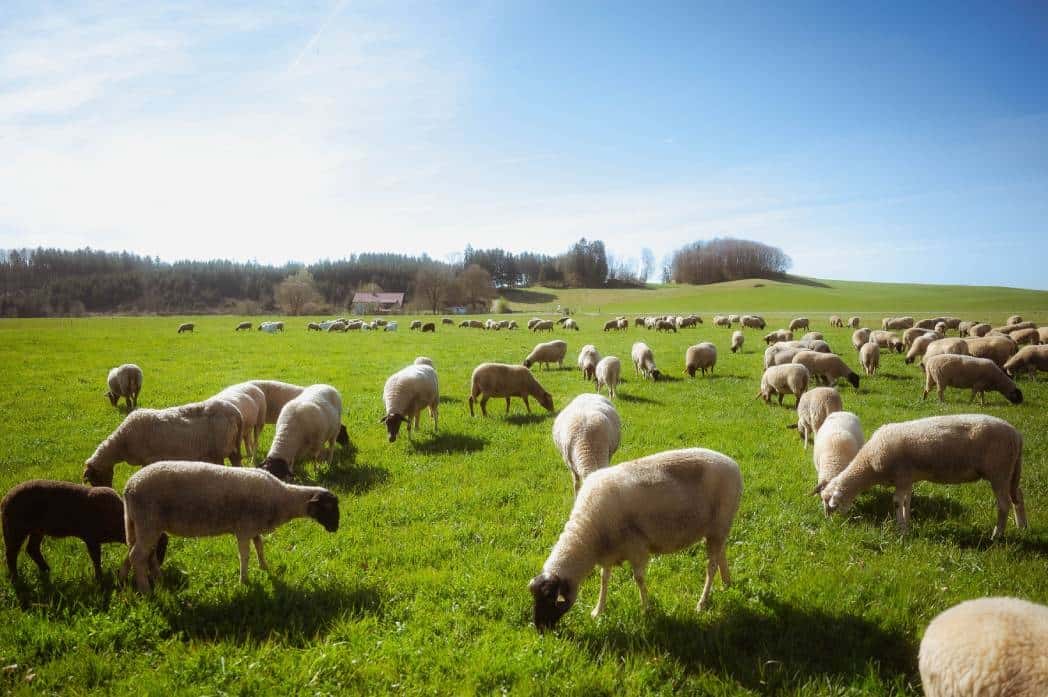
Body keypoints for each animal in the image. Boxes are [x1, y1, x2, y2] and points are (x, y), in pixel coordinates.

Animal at [3, 480, 167, 584]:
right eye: (157, 549)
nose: (158, 567)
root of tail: (4, 500)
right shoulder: (91, 538)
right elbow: (96, 559)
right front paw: (99, 579)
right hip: (15, 529)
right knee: (11, 554)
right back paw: (15, 578)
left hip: (37, 529)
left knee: (32, 549)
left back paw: (46, 570)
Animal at [83, 399, 243, 488]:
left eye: (93, 479)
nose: (109, 490)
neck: (121, 442)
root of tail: (236, 412)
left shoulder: (148, 459)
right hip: (232, 446)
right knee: (237, 463)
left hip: (219, 450)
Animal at [120, 462, 338, 592]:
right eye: (328, 507)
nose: (336, 528)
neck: (282, 499)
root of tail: (130, 486)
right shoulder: (244, 528)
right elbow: (245, 555)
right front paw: (244, 581)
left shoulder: (253, 528)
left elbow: (260, 547)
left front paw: (264, 567)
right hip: (148, 522)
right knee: (137, 556)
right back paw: (145, 590)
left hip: (144, 524)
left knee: (142, 554)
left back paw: (148, 579)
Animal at [529, 448, 742, 631]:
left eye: (549, 598)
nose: (539, 629)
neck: (587, 534)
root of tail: (732, 464)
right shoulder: (609, 549)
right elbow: (604, 578)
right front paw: (598, 610)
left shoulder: (636, 547)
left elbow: (638, 579)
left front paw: (646, 609)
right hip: (716, 528)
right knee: (721, 553)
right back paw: (726, 582)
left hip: (720, 524)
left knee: (710, 567)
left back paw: (702, 603)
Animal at [819, 414, 1026, 538]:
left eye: (831, 504)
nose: (829, 523)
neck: (868, 464)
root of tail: (1016, 434)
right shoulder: (907, 479)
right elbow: (906, 501)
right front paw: (908, 523)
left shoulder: (901, 476)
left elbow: (897, 502)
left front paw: (902, 530)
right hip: (1010, 471)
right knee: (1018, 496)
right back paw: (1022, 526)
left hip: (998, 471)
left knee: (1004, 504)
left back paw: (996, 535)